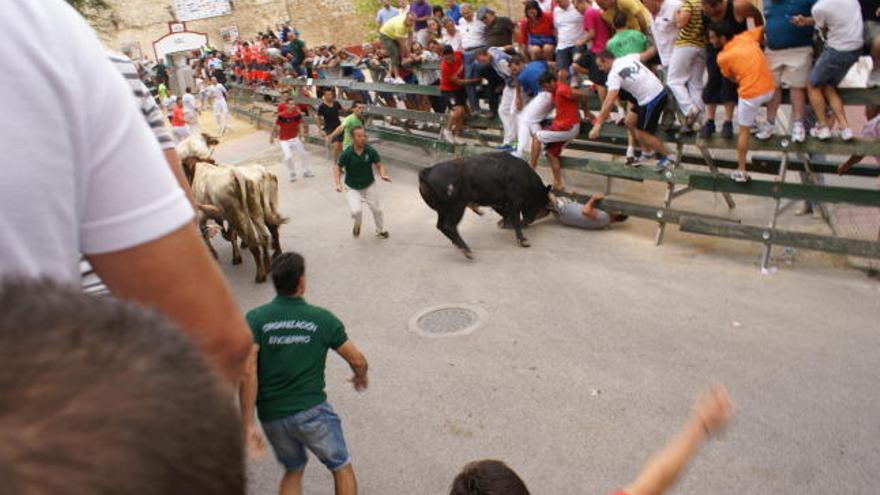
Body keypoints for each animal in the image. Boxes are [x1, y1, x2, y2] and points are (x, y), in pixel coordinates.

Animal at [418, 153, 552, 258]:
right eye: (540, 202)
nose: (530, 220)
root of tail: (427, 172)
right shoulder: (515, 202)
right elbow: (515, 220)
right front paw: (523, 240)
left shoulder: (499, 203)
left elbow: (507, 215)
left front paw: (503, 223)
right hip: (457, 207)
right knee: (448, 226)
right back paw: (467, 251)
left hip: (443, 210)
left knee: (441, 226)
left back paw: (461, 246)